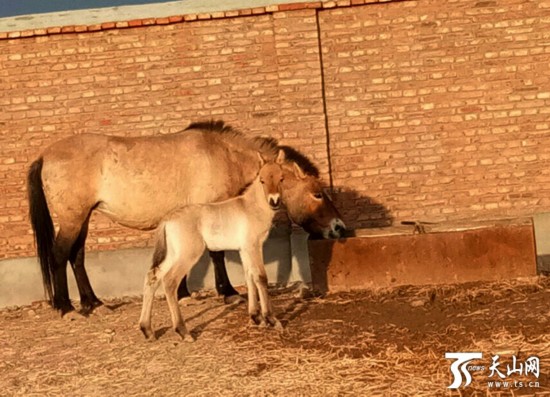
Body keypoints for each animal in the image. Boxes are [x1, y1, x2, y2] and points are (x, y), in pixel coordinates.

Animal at [28, 120, 348, 316]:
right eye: (317, 193)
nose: (339, 228)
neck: (222, 155)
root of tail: (44, 156)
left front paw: (183, 292)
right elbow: (216, 254)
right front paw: (228, 292)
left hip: (83, 218)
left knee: (77, 256)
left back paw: (93, 302)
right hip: (73, 218)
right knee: (59, 255)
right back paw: (65, 307)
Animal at [140, 152, 286, 340]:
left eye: (281, 178)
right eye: (262, 180)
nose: (274, 201)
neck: (250, 207)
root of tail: (167, 219)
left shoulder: (244, 249)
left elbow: (249, 277)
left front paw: (256, 317)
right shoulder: (254, 246)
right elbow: (260, 277)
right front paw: (272, 320)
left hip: (173, 254)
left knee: (153, 276)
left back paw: (147, 329)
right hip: (188, 254)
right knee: (170, 281)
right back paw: (183, 331)